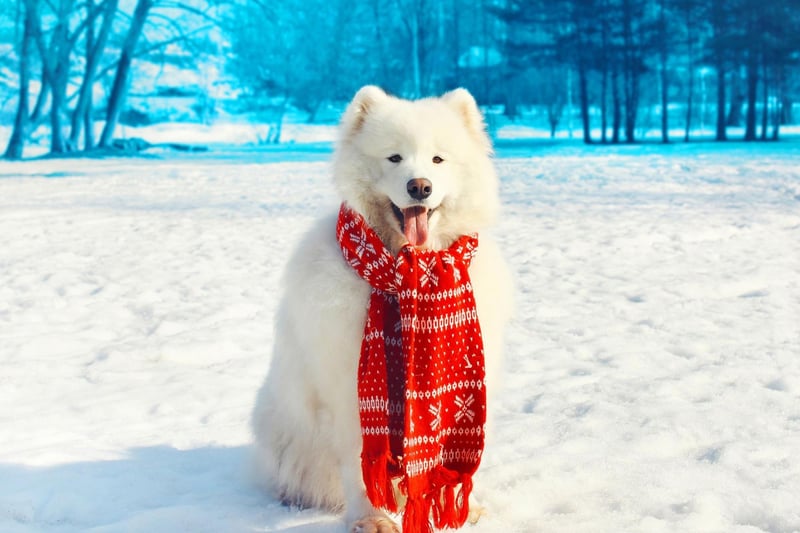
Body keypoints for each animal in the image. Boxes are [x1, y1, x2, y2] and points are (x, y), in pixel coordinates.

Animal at [250, 85, 512, 528]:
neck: (411, 270)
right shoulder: (349, 392)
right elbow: (364, 463)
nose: (419, 186)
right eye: (394, 158)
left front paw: (463, 506)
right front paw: (371, 519)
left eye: (438, 159)